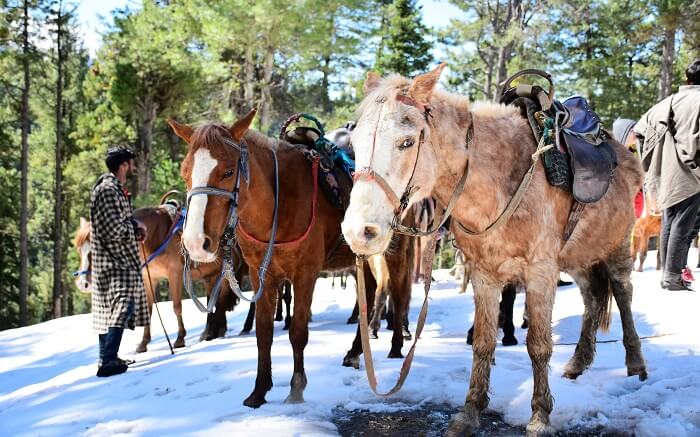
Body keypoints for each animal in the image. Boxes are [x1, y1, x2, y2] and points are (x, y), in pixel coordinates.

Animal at [342, 65, 648, 436]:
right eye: (355, 144)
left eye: (407, 141)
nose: (359, 232)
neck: (497, 183)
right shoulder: (484, 275)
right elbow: (483, 342)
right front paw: (470, 412)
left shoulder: (540, 273)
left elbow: (539, 344)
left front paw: (540, 416)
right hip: (578, 258)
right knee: (591, 298)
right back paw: (577, 363)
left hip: (617, 246)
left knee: (622, 293)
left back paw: (636, 364)